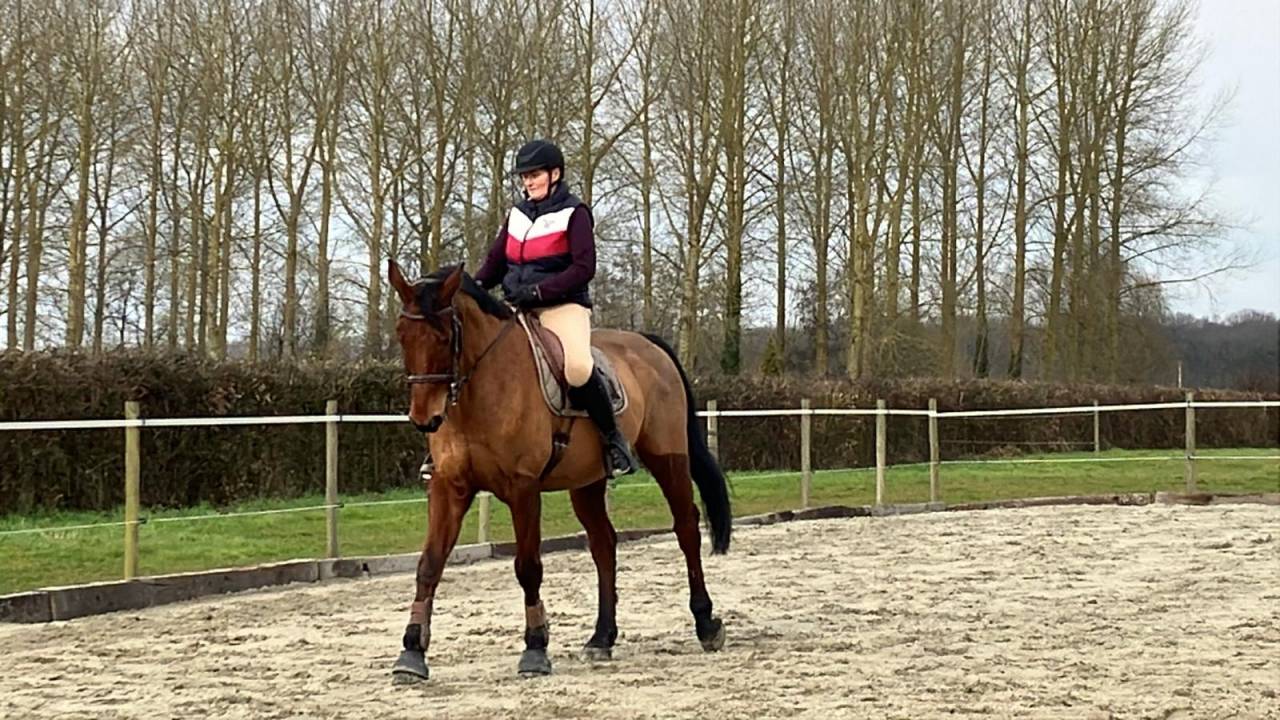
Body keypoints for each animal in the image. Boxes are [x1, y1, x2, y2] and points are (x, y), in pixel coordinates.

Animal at [386, 259, 732, 683]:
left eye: (442, 335)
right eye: (403, 335)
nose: (425, 419)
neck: (479, 391)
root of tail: (648, 346)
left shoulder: (523, 489)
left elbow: (528, 567)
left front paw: (535, 648)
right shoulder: (449, 487)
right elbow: (429, 564)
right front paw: (411, 652)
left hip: (668, 459)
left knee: (686, 527)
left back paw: (706, 623)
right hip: (587, 482)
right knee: (604, 544)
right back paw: (602, 638)